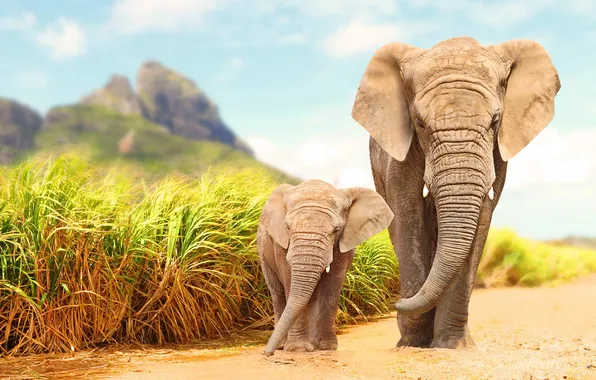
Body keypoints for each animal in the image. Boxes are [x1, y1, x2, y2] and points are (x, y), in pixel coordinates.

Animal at [258, 180, 394, 354]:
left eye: (336, 230)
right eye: (288, 227)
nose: (267, 353)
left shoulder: (345, 242)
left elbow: (332, 284)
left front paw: (326, 347)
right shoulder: (280, 244)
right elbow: (289, 280)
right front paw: (298, 349)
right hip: (262, 252)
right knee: (278, 293)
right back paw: (283, 345)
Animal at [350, 37, 560, 348]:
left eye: (495, 121)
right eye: (419, 123)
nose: (394, 303)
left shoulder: (497, 153)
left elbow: (481, 218)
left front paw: (452, 346)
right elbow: (408, 215)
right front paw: (412, 341)